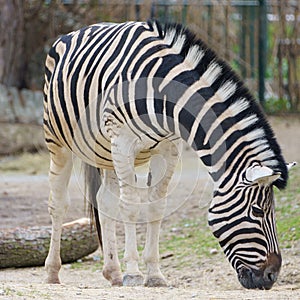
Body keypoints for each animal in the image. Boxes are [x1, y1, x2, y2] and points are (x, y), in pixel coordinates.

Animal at [43, 19, 294, 290]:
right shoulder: (124, 142)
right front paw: (134, 273)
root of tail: (77, 31)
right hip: (58, 141)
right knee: (58, 204)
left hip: (105, 151)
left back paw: (113, 272)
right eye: (257, 211)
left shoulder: (168, 147)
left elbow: (156, 207)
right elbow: (130, 206)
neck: (162, 91)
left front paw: (154, 274)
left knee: (104, 201)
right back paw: (53, 273)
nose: (271, 276)